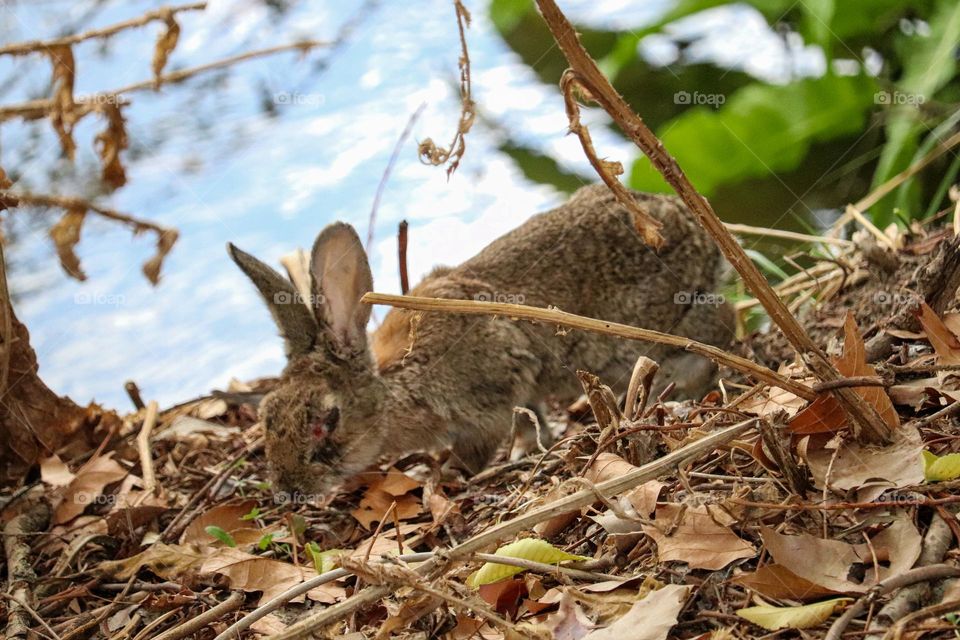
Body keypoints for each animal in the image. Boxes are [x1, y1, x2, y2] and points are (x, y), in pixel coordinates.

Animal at [231, 182, 736, 498]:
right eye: (267, 414)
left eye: (326, 420)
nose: (288, 491)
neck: (395, 387)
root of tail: (694, 226)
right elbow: (533, 417)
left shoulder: (483, 404)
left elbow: (477, 448)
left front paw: (446, 473)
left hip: (656, 331)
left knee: (719, 330)